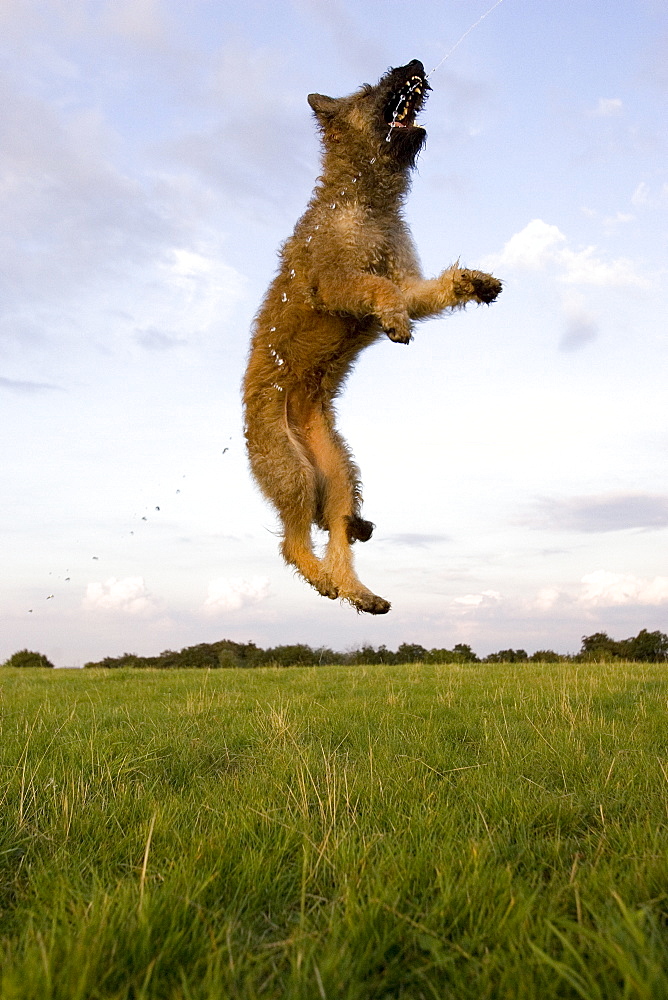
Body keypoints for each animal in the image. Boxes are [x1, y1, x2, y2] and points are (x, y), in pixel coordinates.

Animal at [243, 62, 498, 612]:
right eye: (367, 89)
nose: (415, 65)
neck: (364, 199)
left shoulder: (408, 282)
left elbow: (421, 291)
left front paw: (474, 282)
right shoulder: (334, 282)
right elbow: (374, 286)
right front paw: (396, 323)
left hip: (338, 472)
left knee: (338, 532)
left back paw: (358, 592)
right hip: (291, 471)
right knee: (292, 540)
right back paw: (322, 579)